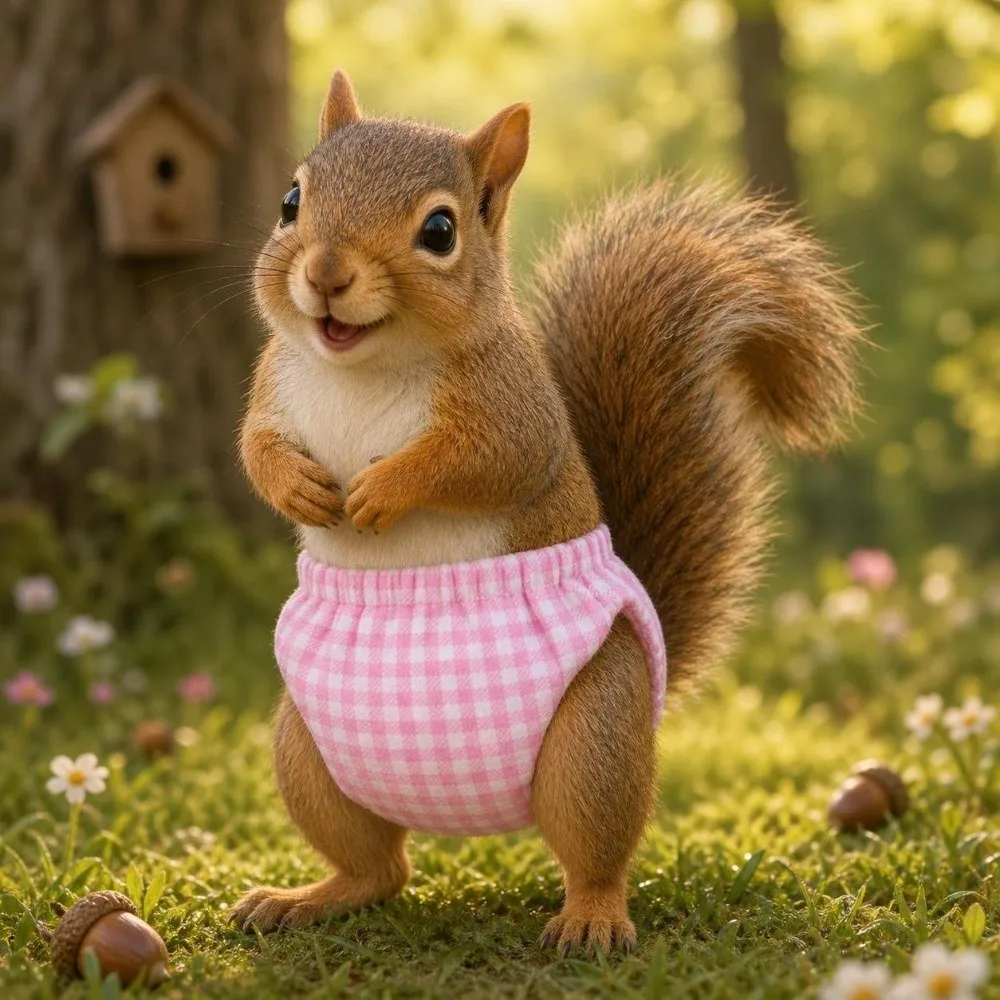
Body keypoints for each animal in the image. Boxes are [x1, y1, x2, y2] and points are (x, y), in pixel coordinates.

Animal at [231, 69, 862, 954]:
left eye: (439, 230)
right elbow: (255, 451)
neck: (363, 365)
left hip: (592, 736)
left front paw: (381, 490)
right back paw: (307, 897)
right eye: (291, 201)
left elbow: (487, 462)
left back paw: (592, 919)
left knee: (592, 850)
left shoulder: (512, 407)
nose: (324, 273)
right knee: (380, 868)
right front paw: (297, 488)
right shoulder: (273, 385)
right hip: (306, 751)